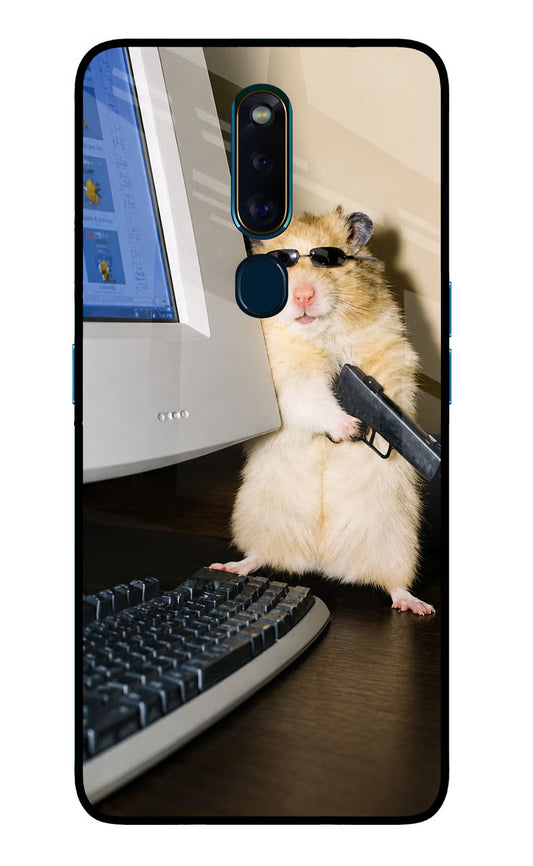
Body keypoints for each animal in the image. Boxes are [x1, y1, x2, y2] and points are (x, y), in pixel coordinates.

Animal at [212, 207, 435, 615]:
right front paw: (349, 428)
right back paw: (230, 566)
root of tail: (321, 561)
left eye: (328, 260)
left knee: (394, 583)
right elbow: (313, 399)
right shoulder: (288, 379)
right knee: (259, 555)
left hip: (397, 541)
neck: (319, 333)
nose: (303, 296)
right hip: (257, 517)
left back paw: (417, 606)